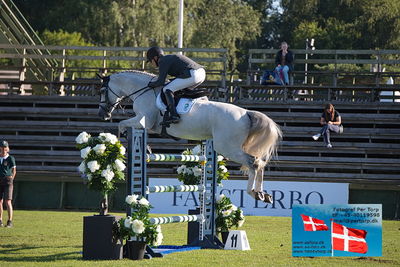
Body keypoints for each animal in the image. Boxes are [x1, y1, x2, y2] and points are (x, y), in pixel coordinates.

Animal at [98, 70, 282, 203]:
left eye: (102, 91)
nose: (103, 114)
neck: (144, 91)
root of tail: (246, 113)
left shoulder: (144, 120)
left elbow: (121, 124)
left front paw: (138, 147)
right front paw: (147, 149)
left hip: (227, 147)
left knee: (254, 162)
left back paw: (254, 192)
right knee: (260, 163)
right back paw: (263, 194)